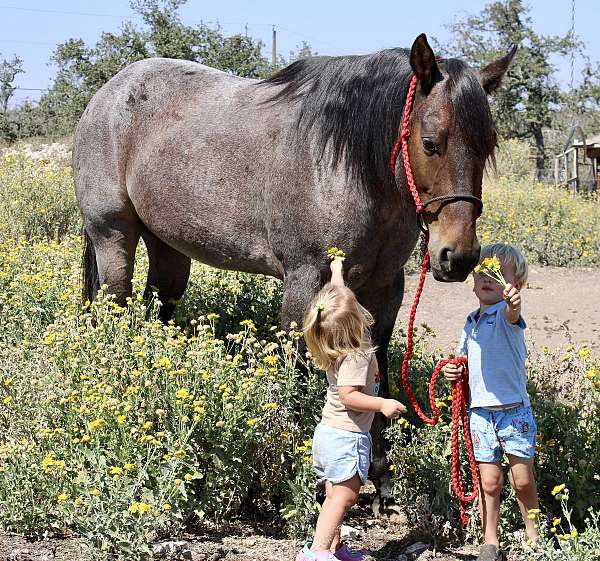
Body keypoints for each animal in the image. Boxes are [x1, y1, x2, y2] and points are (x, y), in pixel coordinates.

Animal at [74, 32, 516, 510]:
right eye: (431, 142)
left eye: (488, 146)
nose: (459, 257)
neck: (347, 166)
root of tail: (106, 93)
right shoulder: (305, 280)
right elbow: (299, 369)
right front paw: (302, 466)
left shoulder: (386, 288)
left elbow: (375, 370)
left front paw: (380, 479)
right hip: (112, 235)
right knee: (113, 307)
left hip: (168, 247)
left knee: (159, 307)